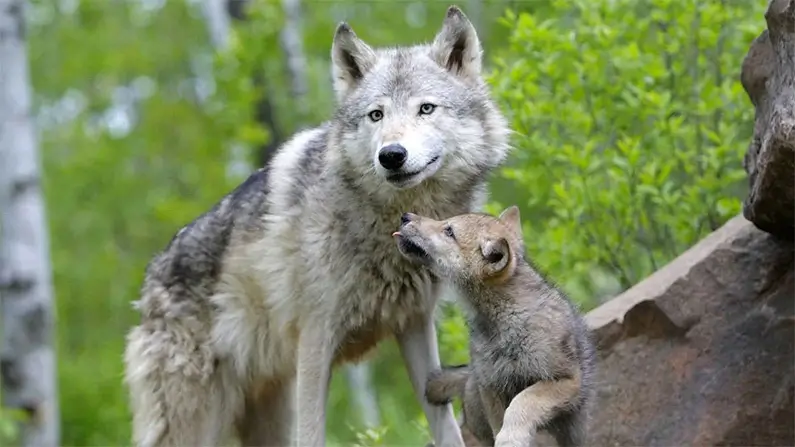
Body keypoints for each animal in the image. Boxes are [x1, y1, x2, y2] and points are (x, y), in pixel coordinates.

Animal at [122, 5, 510, 447]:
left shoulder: (414, 324)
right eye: (376, 115)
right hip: (197, 420)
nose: (391, 155)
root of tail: (150, 280)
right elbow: (312, 433)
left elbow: (443, 423)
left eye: (426, 109)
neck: (386, 224)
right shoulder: (314, 341)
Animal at [393, 207, 596, 447]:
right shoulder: (492, 387)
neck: (505, 320)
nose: (405, 216)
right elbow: (501, 420)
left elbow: (523, 401)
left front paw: (512, 436)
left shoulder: (564, 380)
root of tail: (469, 374)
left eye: (449, 231)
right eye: (446, 223)